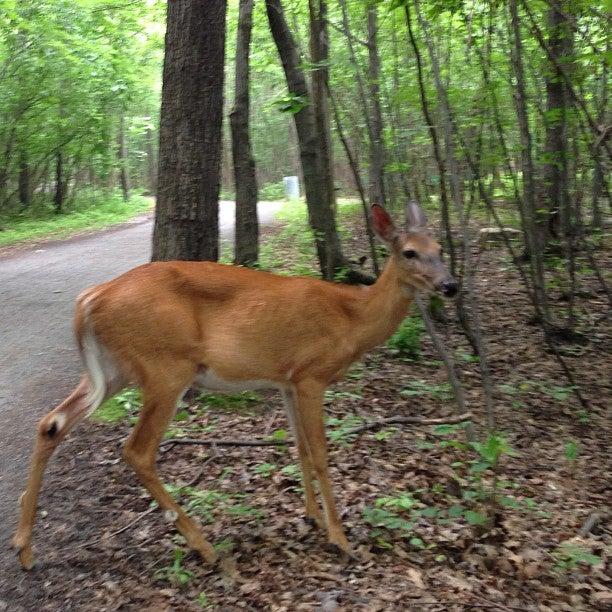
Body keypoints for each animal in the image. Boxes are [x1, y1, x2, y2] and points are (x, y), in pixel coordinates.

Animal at [11, 204, 456, 568]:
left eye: (440, 247)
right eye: (409, 252)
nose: (450, 285)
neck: (353, 319)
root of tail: (91, 297)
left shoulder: (287, 381)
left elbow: (299, 447)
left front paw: (311, 516)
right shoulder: (312, 374)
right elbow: (321, 454)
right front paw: (340, 538)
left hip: (115, 369)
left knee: (51, 422)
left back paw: (24, 547)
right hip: (166, 366)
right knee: (136, 450)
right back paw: (204, 547)